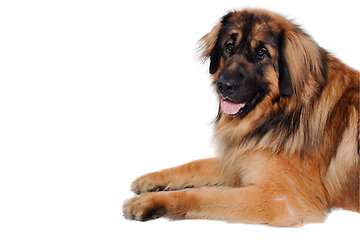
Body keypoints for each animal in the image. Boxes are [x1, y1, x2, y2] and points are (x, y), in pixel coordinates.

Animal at [122, 9, 358, 227]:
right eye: (228, 47)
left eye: (262, 53)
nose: (224, 86)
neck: (281, 110)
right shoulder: (239, 157)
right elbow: (195, 165)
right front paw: (152, 179)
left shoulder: (281, 199)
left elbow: (203, 194)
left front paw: (150, 202)